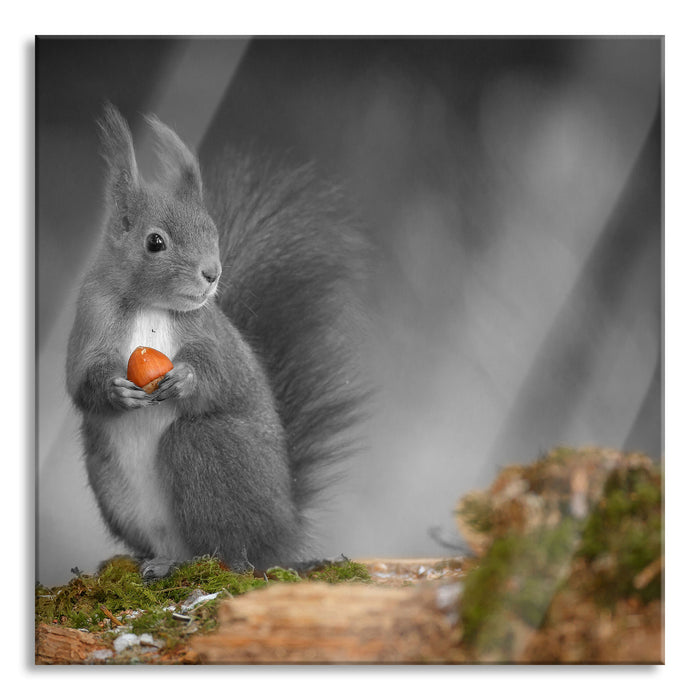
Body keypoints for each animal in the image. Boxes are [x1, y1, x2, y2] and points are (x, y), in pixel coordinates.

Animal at [68, 101, 370, 576]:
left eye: (212, 231)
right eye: (155, 242)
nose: (212, 273)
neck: (148, 306)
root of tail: (284, 535)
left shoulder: (209, 330)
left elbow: (221, 372)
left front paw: (187, 378)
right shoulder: (91, 318)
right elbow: (81, 382)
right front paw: (115, 390)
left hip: (208, 450)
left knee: (228, 549)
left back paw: (208, 562)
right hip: (111, 483)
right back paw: (154, 562)